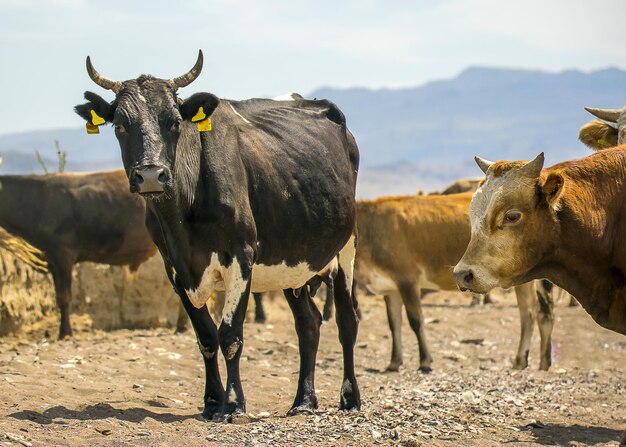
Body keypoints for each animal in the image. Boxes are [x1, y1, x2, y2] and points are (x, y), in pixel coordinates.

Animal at [76, 50, 360, 422]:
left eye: (174, 122)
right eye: (120, 125)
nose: (151, 175)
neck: (182, 219)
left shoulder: (241, 256)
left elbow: (230, 336)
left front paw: (234, 404)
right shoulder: (175, 268)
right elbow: (206, 337)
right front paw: (212, 401)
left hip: (346, 249)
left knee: (347, 322)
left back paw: (350, 398)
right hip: (292, 262)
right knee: (308, 324)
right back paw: (303, 400)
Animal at [354, 194, 552, 372]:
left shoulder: (407, 279)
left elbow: (416, 321)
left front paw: (425, 361)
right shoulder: (390, 288)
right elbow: (394, 324)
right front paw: (394, 362)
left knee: (530, 313)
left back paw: (523, 360)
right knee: (541, 313)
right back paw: (540, 362)